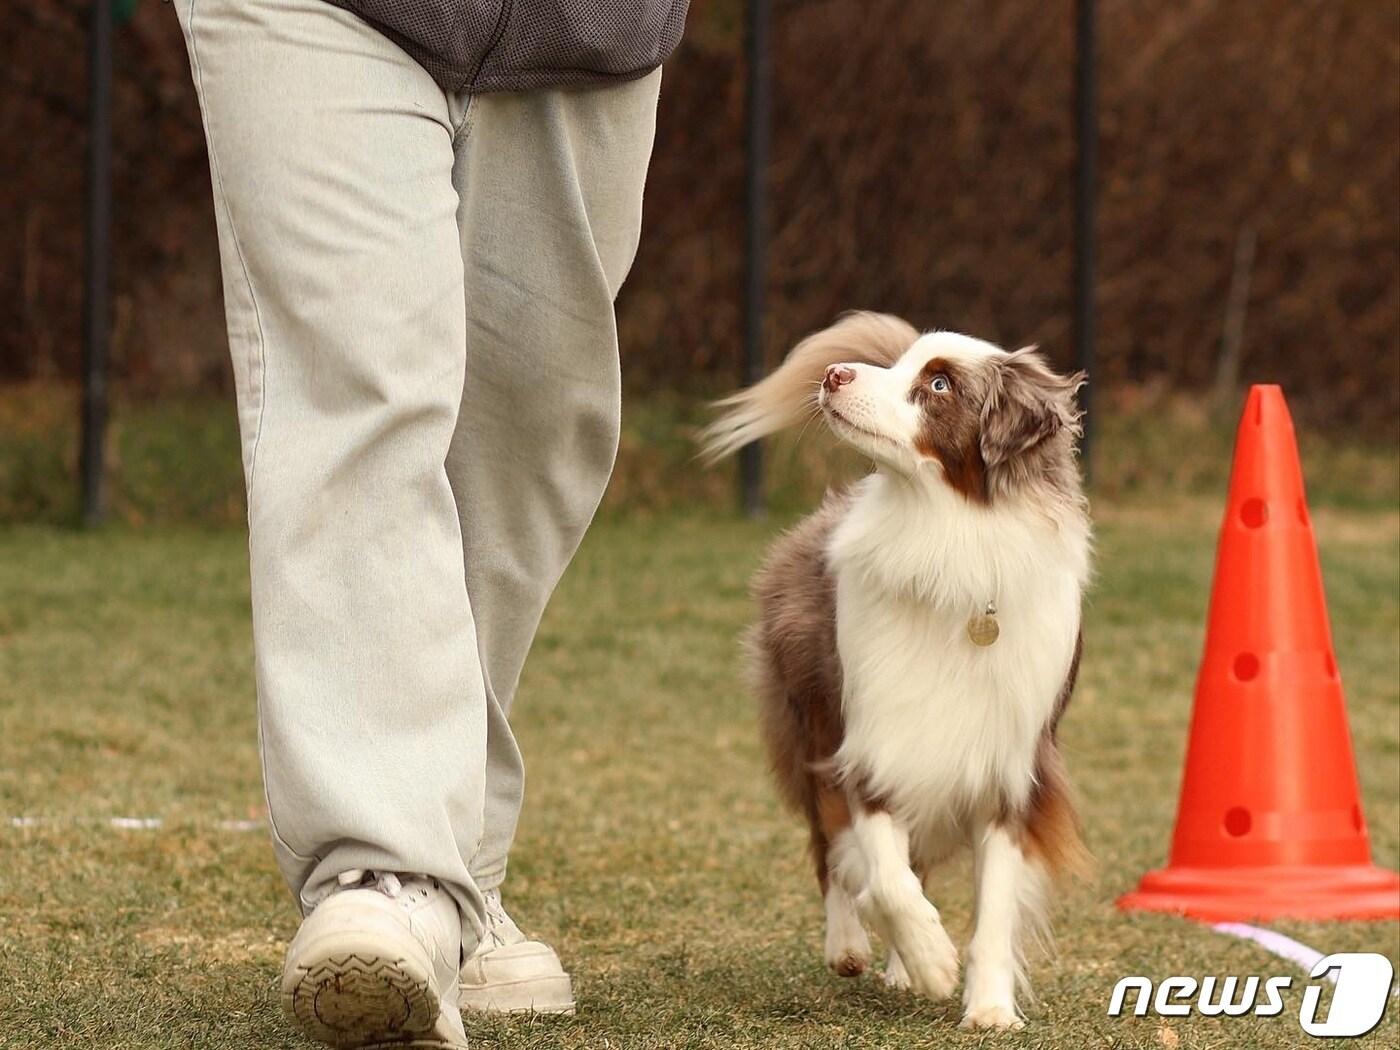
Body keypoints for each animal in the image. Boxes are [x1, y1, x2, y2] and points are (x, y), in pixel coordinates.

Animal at [700, 312, 1092, 1036]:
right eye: (903, 363)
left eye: (938, 384)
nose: (835, 373)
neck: (943, 537)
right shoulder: (866, 741)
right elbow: (881, 871)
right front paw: (933, 959)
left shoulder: (1010, 768)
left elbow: (994, 905)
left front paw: (988, 1007)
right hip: (808, 719)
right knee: (829, 848)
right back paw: (852, 945)